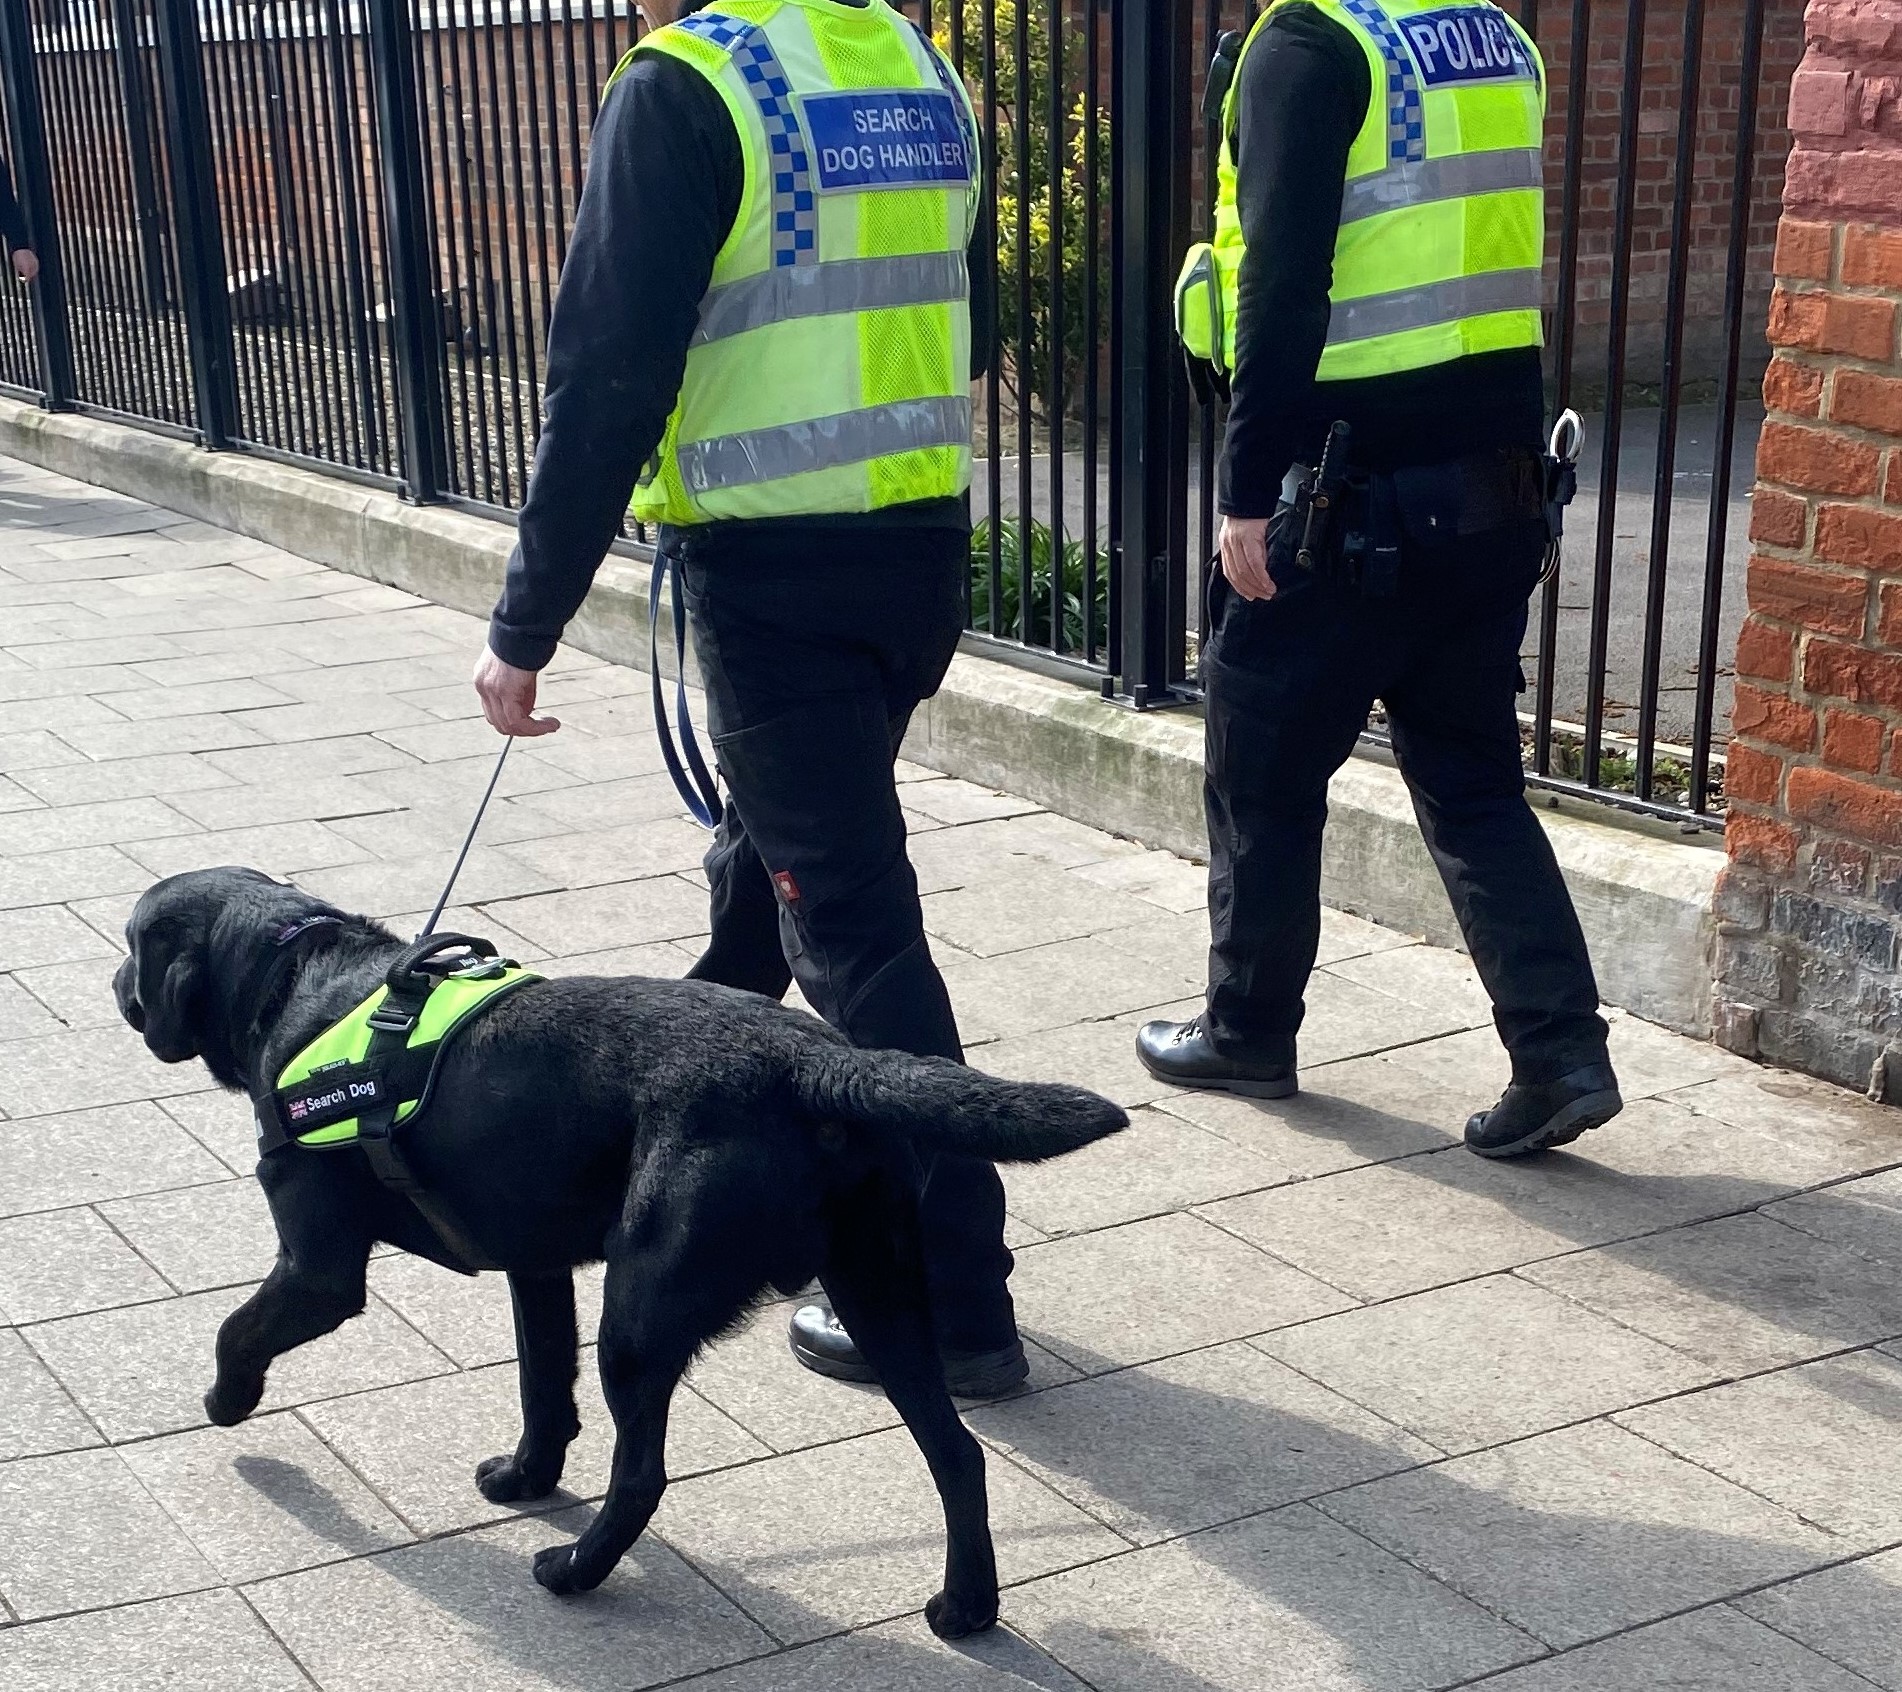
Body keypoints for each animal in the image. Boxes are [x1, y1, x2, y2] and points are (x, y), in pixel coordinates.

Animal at [115, 863, 1125, 1627]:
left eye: (129, 943)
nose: (115, 986)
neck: (295, 976)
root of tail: (819, 1061)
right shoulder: (537, 1268)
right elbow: (540, 1384)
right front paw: (527, 1474)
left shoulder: (319, 1271)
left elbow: (238, 1327)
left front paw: (227, 1399)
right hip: (882, 1297)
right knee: (957, 1454)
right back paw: (967, 1607)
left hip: (641, 1314)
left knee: (642, 1475)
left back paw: (574, 1570)